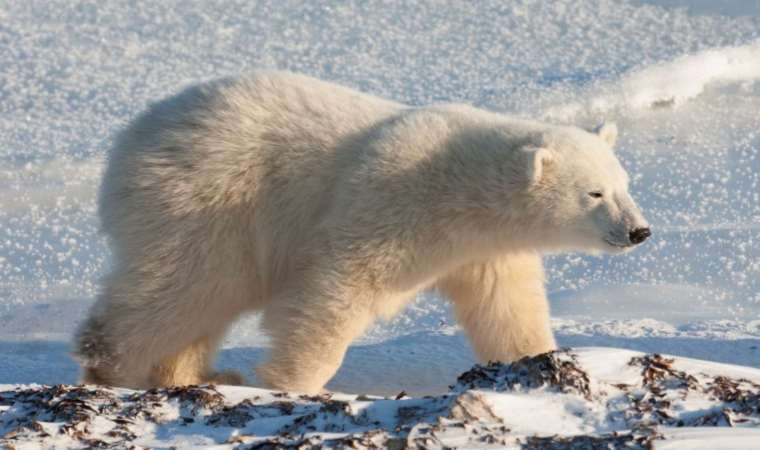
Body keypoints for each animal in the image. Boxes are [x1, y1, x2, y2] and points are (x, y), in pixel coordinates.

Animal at [75, 71, 648, 394]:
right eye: (594, 193)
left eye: (624, 184)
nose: (639, 231)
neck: (459, 187)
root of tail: (131, 138)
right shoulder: (390, 200)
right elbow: (337, 288)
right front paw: (294, 383)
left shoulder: (483, 251)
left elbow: (506, 307)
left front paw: (538, 361)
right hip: (209, 199)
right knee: (188, 284)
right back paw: (112, 366)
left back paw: (196, 376)